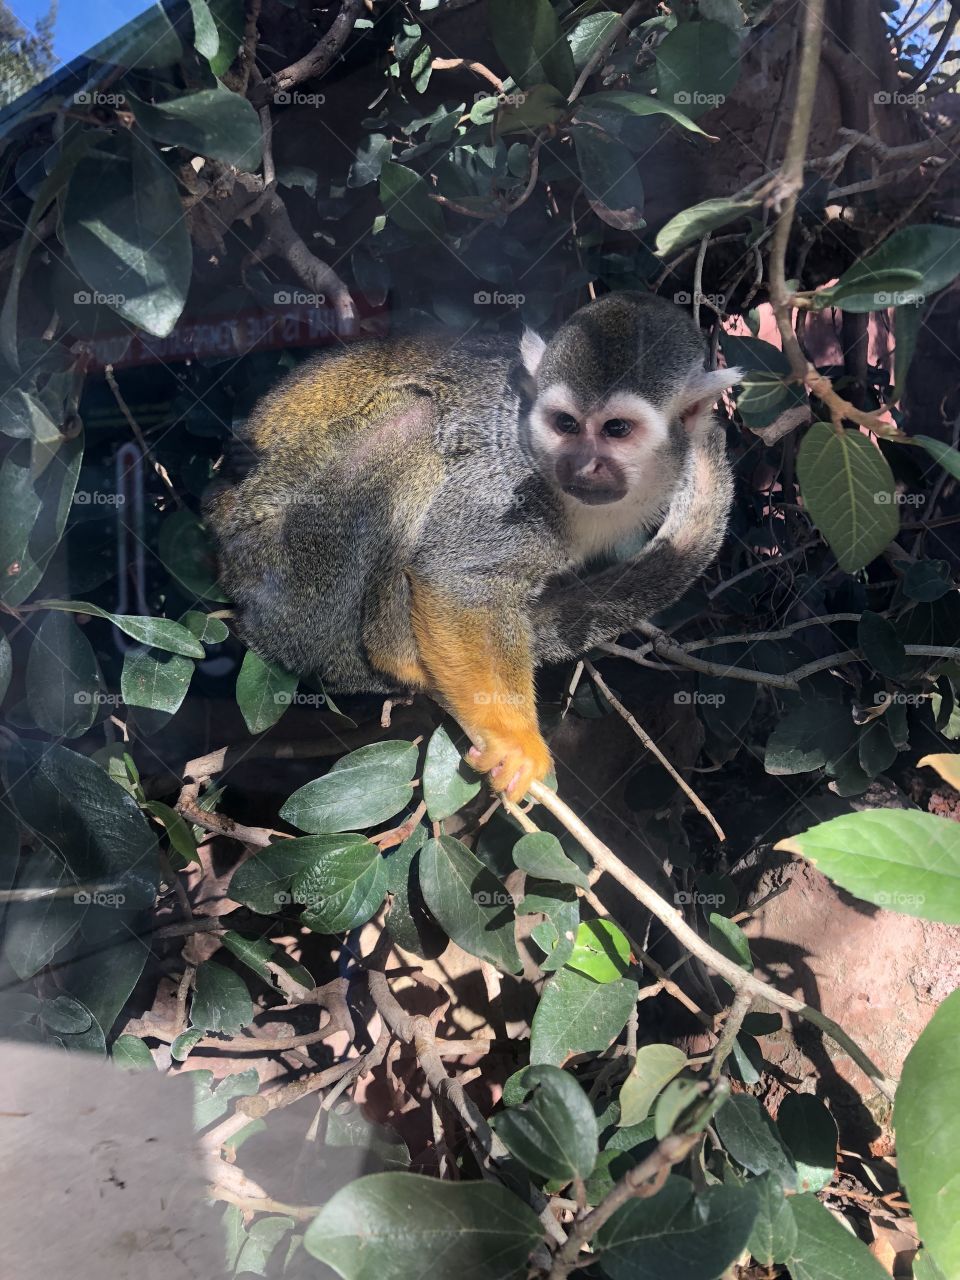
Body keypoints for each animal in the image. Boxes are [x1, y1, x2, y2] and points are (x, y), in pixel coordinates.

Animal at [204, 291, 741, 803]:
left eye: (617, 430)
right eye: (565, 424)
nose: (580, 464)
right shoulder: (507, 484)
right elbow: (456, 579)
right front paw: (514, 741)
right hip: (285, 567)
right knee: (413, 421)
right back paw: (391, 653)